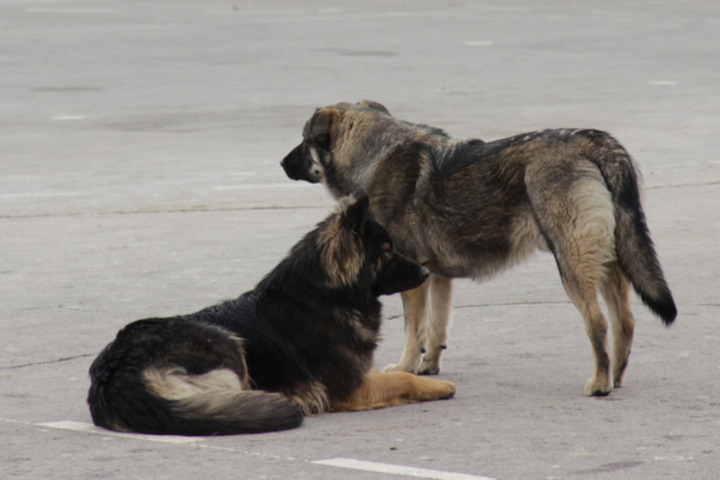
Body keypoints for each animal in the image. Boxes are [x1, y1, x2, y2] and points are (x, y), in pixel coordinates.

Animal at [87, 191, 452, 436]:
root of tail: (115, 375)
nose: (425, 272)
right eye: (387, 250)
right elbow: (402, 378)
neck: (324, 295)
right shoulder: (351, 389)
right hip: (226, 343)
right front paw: (437, 386)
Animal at [282, 99, 676, 396]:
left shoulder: (413, 278)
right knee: (624, 321)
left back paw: (599, 383)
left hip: (573, 265)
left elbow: (414, 330)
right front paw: (429, 366)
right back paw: (616, 378)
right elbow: (436, 328)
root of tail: (595, 141)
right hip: (606, 262)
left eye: (303, 140)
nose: (282, 163)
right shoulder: (435, 276)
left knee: (597, 322)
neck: (375, 153)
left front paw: (407, 366)